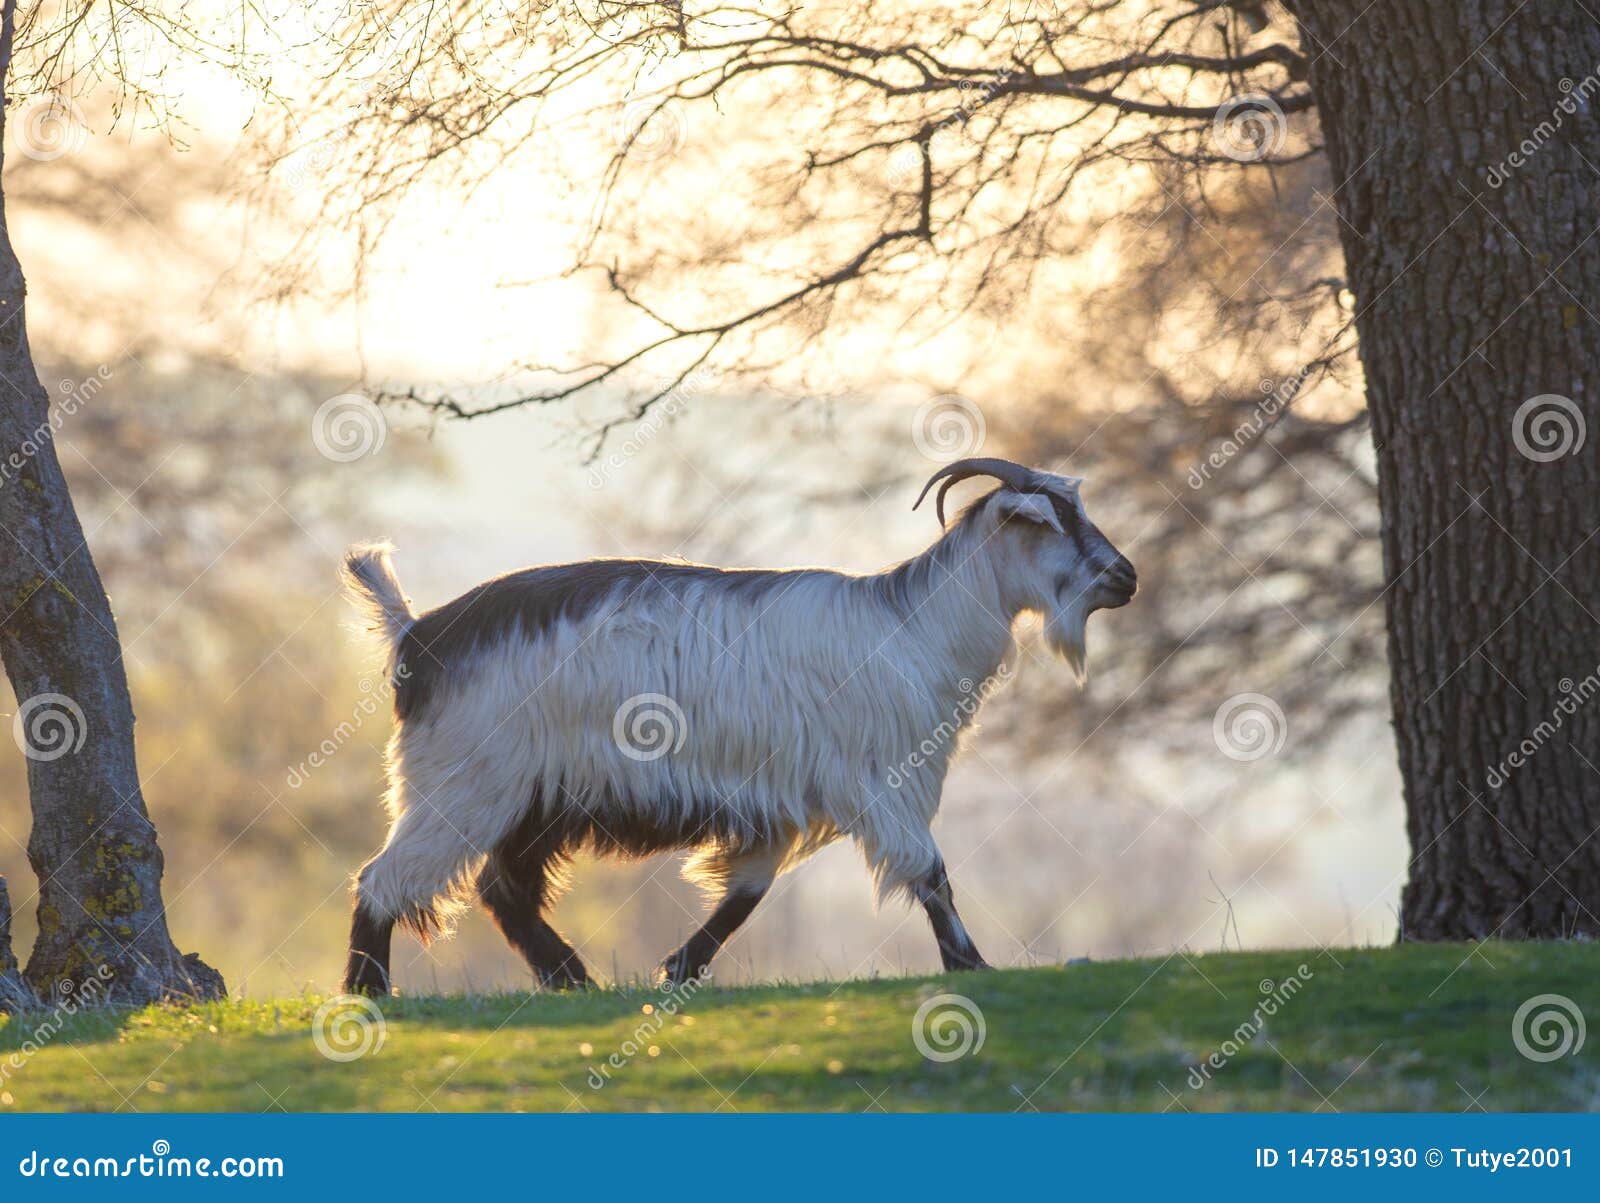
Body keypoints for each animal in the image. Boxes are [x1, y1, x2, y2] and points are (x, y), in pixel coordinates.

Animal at [339, 457, 1136, 994]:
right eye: (1053, 522)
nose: (1126, 577)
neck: (914, 627)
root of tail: (416, 634)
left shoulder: (777, 797)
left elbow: (748, 891)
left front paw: (678, 968)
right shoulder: (875, 781)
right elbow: (931, 872)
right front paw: (972, 964)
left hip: (533, 797)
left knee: (505, 888)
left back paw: (571, 977)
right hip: (465, 784)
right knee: (383, 879)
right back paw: (368, 992)